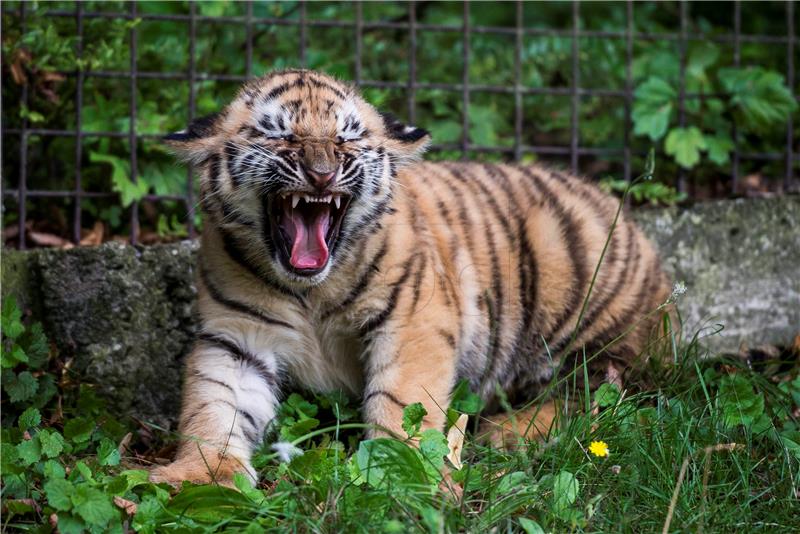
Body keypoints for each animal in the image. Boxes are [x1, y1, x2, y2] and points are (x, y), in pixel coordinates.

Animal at [148, 69, 668, 488]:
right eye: (282, 137)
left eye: (346, 140)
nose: (321, 174)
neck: (312, 290)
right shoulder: (236, 336)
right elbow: (214, 402)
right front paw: (200, 475)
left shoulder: (412, 321)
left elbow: (401, 402)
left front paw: (399, 473)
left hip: (586, 306)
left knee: (607, 397)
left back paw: (507, 432)